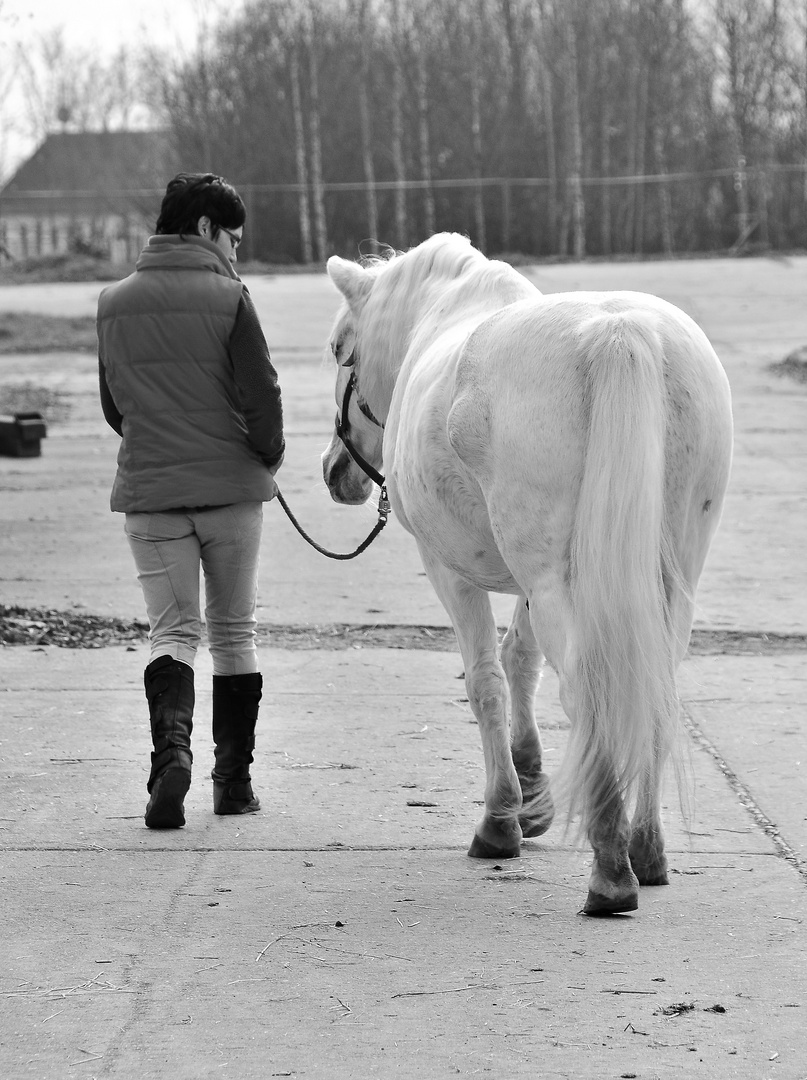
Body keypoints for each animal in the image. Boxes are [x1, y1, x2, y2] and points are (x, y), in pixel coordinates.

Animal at [319, 234, 730, 911]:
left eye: (339, 349)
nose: (334, 470)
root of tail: (618, 330)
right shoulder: (532, 586)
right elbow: (521, 660)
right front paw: (533, 791)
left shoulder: (449, 570)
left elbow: (485, 678)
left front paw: (502, 817)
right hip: (668, 580)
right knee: (654, 684)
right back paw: (647, 849)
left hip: (554, 580)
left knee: (590, 692)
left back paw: (611, 870)